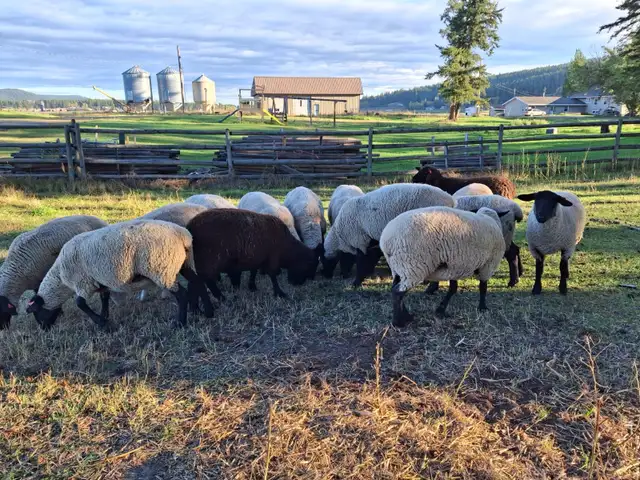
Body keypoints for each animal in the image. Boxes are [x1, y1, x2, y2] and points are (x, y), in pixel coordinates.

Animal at [26, 220, 209, 331]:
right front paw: (104, 316)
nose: (44, 329)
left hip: (161, 269)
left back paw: (180, 323)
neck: (61, 278)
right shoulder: (100, 281)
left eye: (36, 312)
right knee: (198, 282)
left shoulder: (83, 283)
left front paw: (102, 324)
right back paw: (206, 312)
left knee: (182, 294)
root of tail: (183, 235)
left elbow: (80, 303)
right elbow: (104, 298)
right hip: (183, 263)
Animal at [186, 209, 318, 302]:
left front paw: (252, 287)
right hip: (208, 260)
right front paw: (279, 293)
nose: (297, 284)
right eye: (310, 265)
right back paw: (221, 297)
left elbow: (253, 272)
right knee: (207, 280)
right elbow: (273, 276)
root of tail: (190, 226)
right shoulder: (273, 257)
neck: (287, 247)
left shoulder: (257, 258)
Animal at [322, 183, 455, 286]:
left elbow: (360, 262)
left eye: (324, 260)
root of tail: (450, 200)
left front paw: (356, 282)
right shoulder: (371, 242)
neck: (340, 233)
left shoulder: (360, 241)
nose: (326, 275)